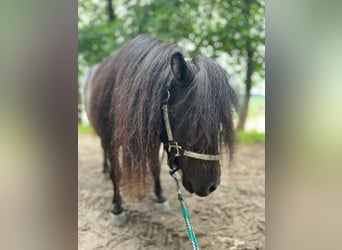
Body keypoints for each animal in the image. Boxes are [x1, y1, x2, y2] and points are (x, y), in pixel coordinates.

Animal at [84, 35, 238, 225]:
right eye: (190, 118)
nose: (210, 185)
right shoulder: (110, 139)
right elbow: (116, 173)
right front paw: (117, 208)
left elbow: (155, 167)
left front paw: (160, 197)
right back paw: (105, 171)